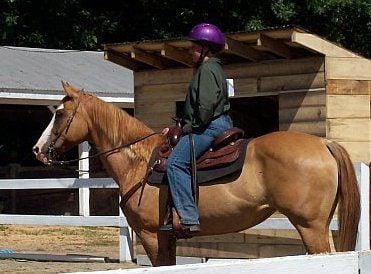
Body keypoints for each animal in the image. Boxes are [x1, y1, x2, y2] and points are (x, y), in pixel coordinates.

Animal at [32, 81, 360, 266]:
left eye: (58, 114)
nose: (37, 149)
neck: (140, 162)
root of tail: (324, 143)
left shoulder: (152, 235)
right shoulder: (168, 238)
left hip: (310, 226)